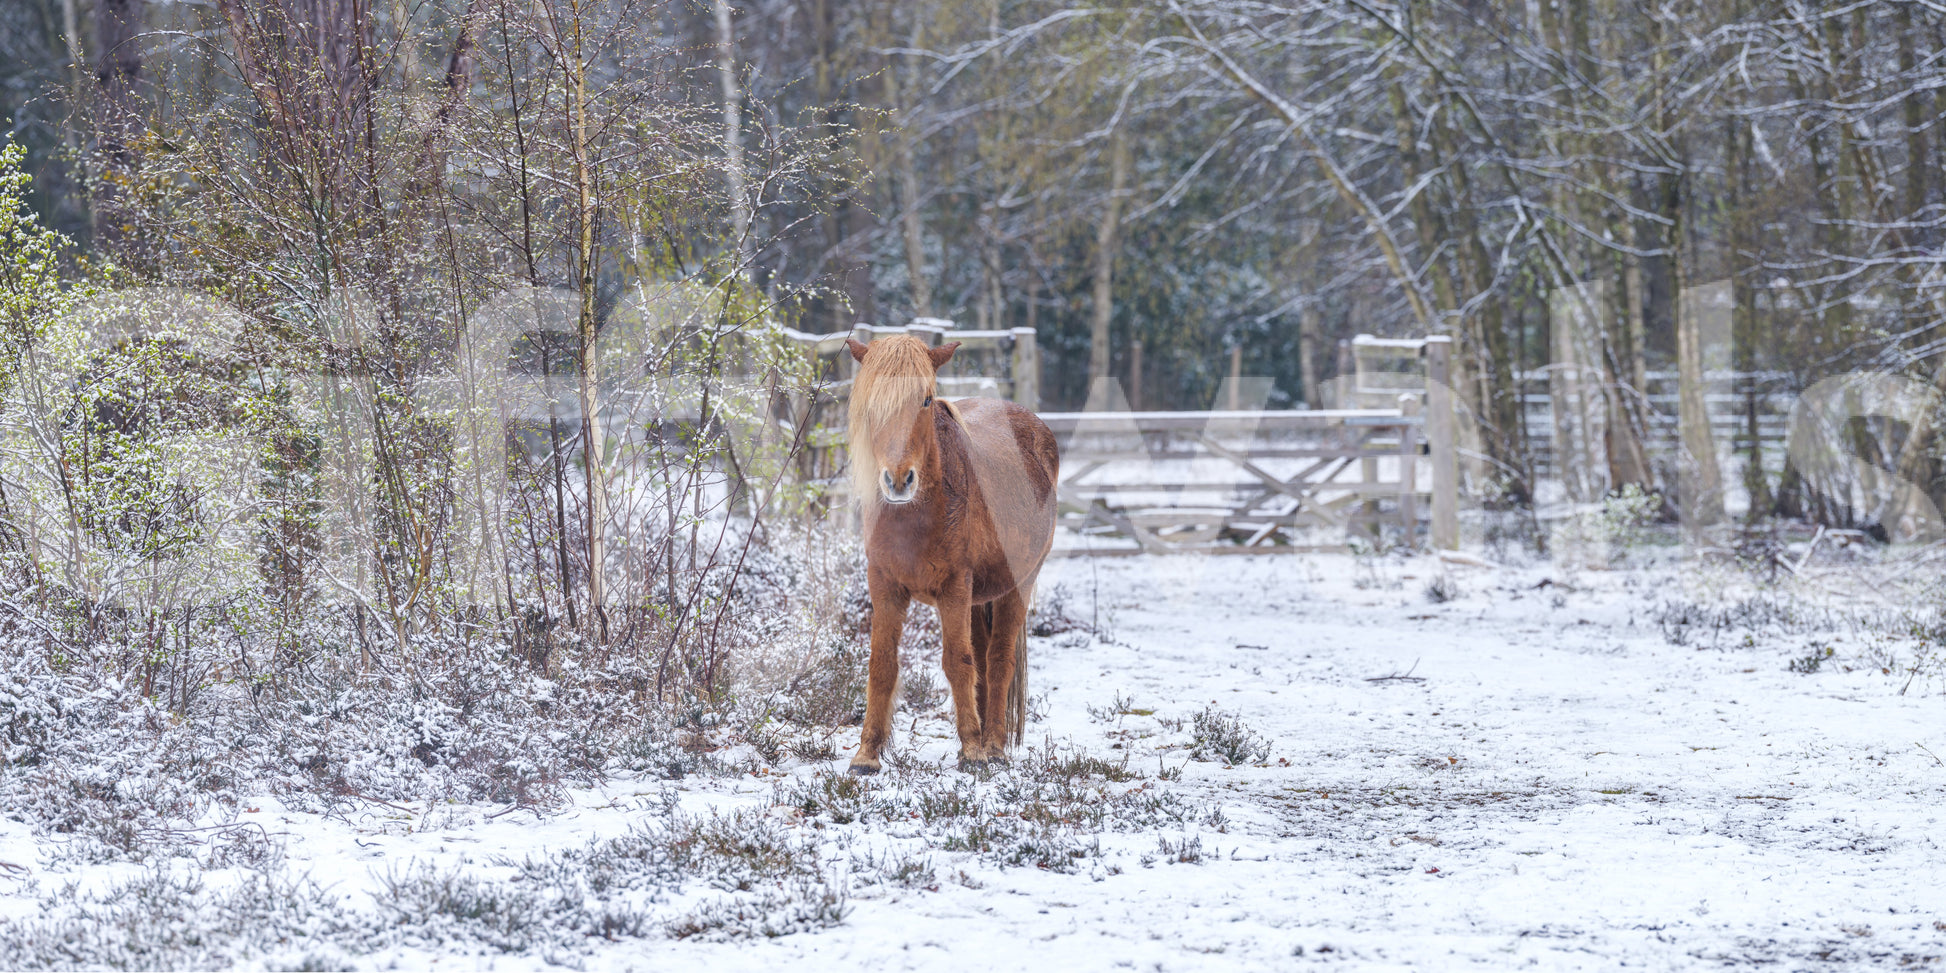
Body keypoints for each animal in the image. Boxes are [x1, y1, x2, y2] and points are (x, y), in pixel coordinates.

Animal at [843, 334, 1060, 774]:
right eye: (871, 401)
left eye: (926, 399)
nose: (898, 480)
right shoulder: (884, 585)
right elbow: (882, 664)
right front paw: (867, 754)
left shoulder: (954, 587)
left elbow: (958, 662)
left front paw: (973, 750)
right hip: (978, 599)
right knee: (984, 658)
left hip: (1017, 585)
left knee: (998, 661)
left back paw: (993, 745)